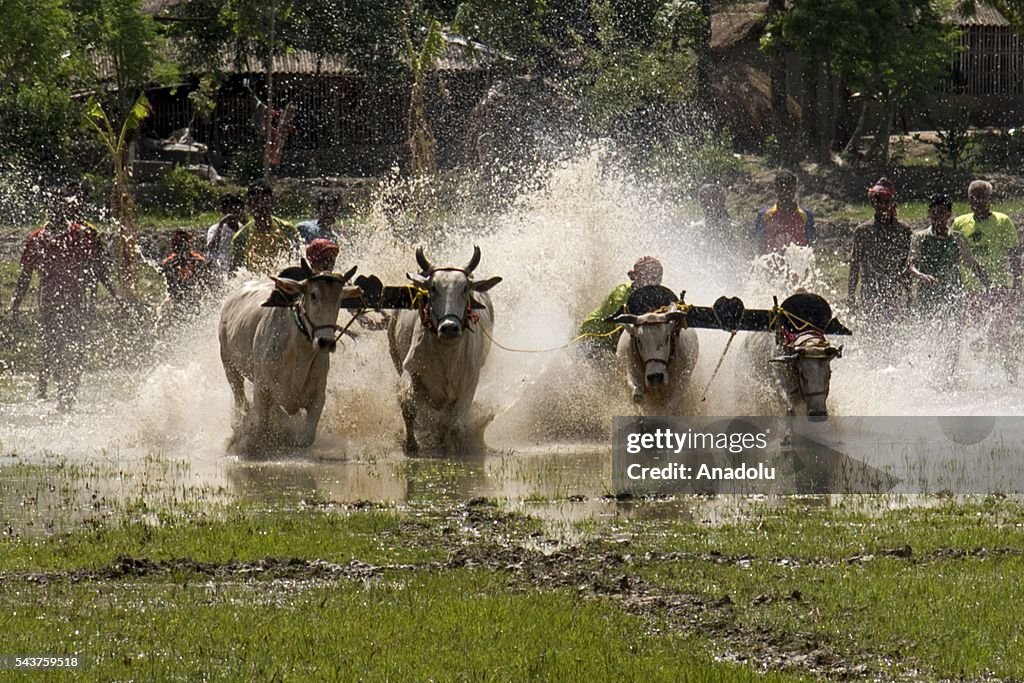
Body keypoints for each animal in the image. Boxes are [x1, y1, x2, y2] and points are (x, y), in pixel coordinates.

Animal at [218, 259, 359, 452]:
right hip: (229, 365)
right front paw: (245, 442)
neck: (299, 352)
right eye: (313, 295)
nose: (325, 342)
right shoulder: (261, 388)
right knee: (240, 399)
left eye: (339, 299)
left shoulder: (318, 395)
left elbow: (305, 438)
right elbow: (260, 425)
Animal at [387, 246, 502, 455]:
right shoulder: (409, 368)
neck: (446, 353)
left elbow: (455, 423)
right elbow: (409, 405)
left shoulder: (470, 382)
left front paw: (453, 449)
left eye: (465, 288)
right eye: (433, 288)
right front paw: (411, 445)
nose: (449, 328)